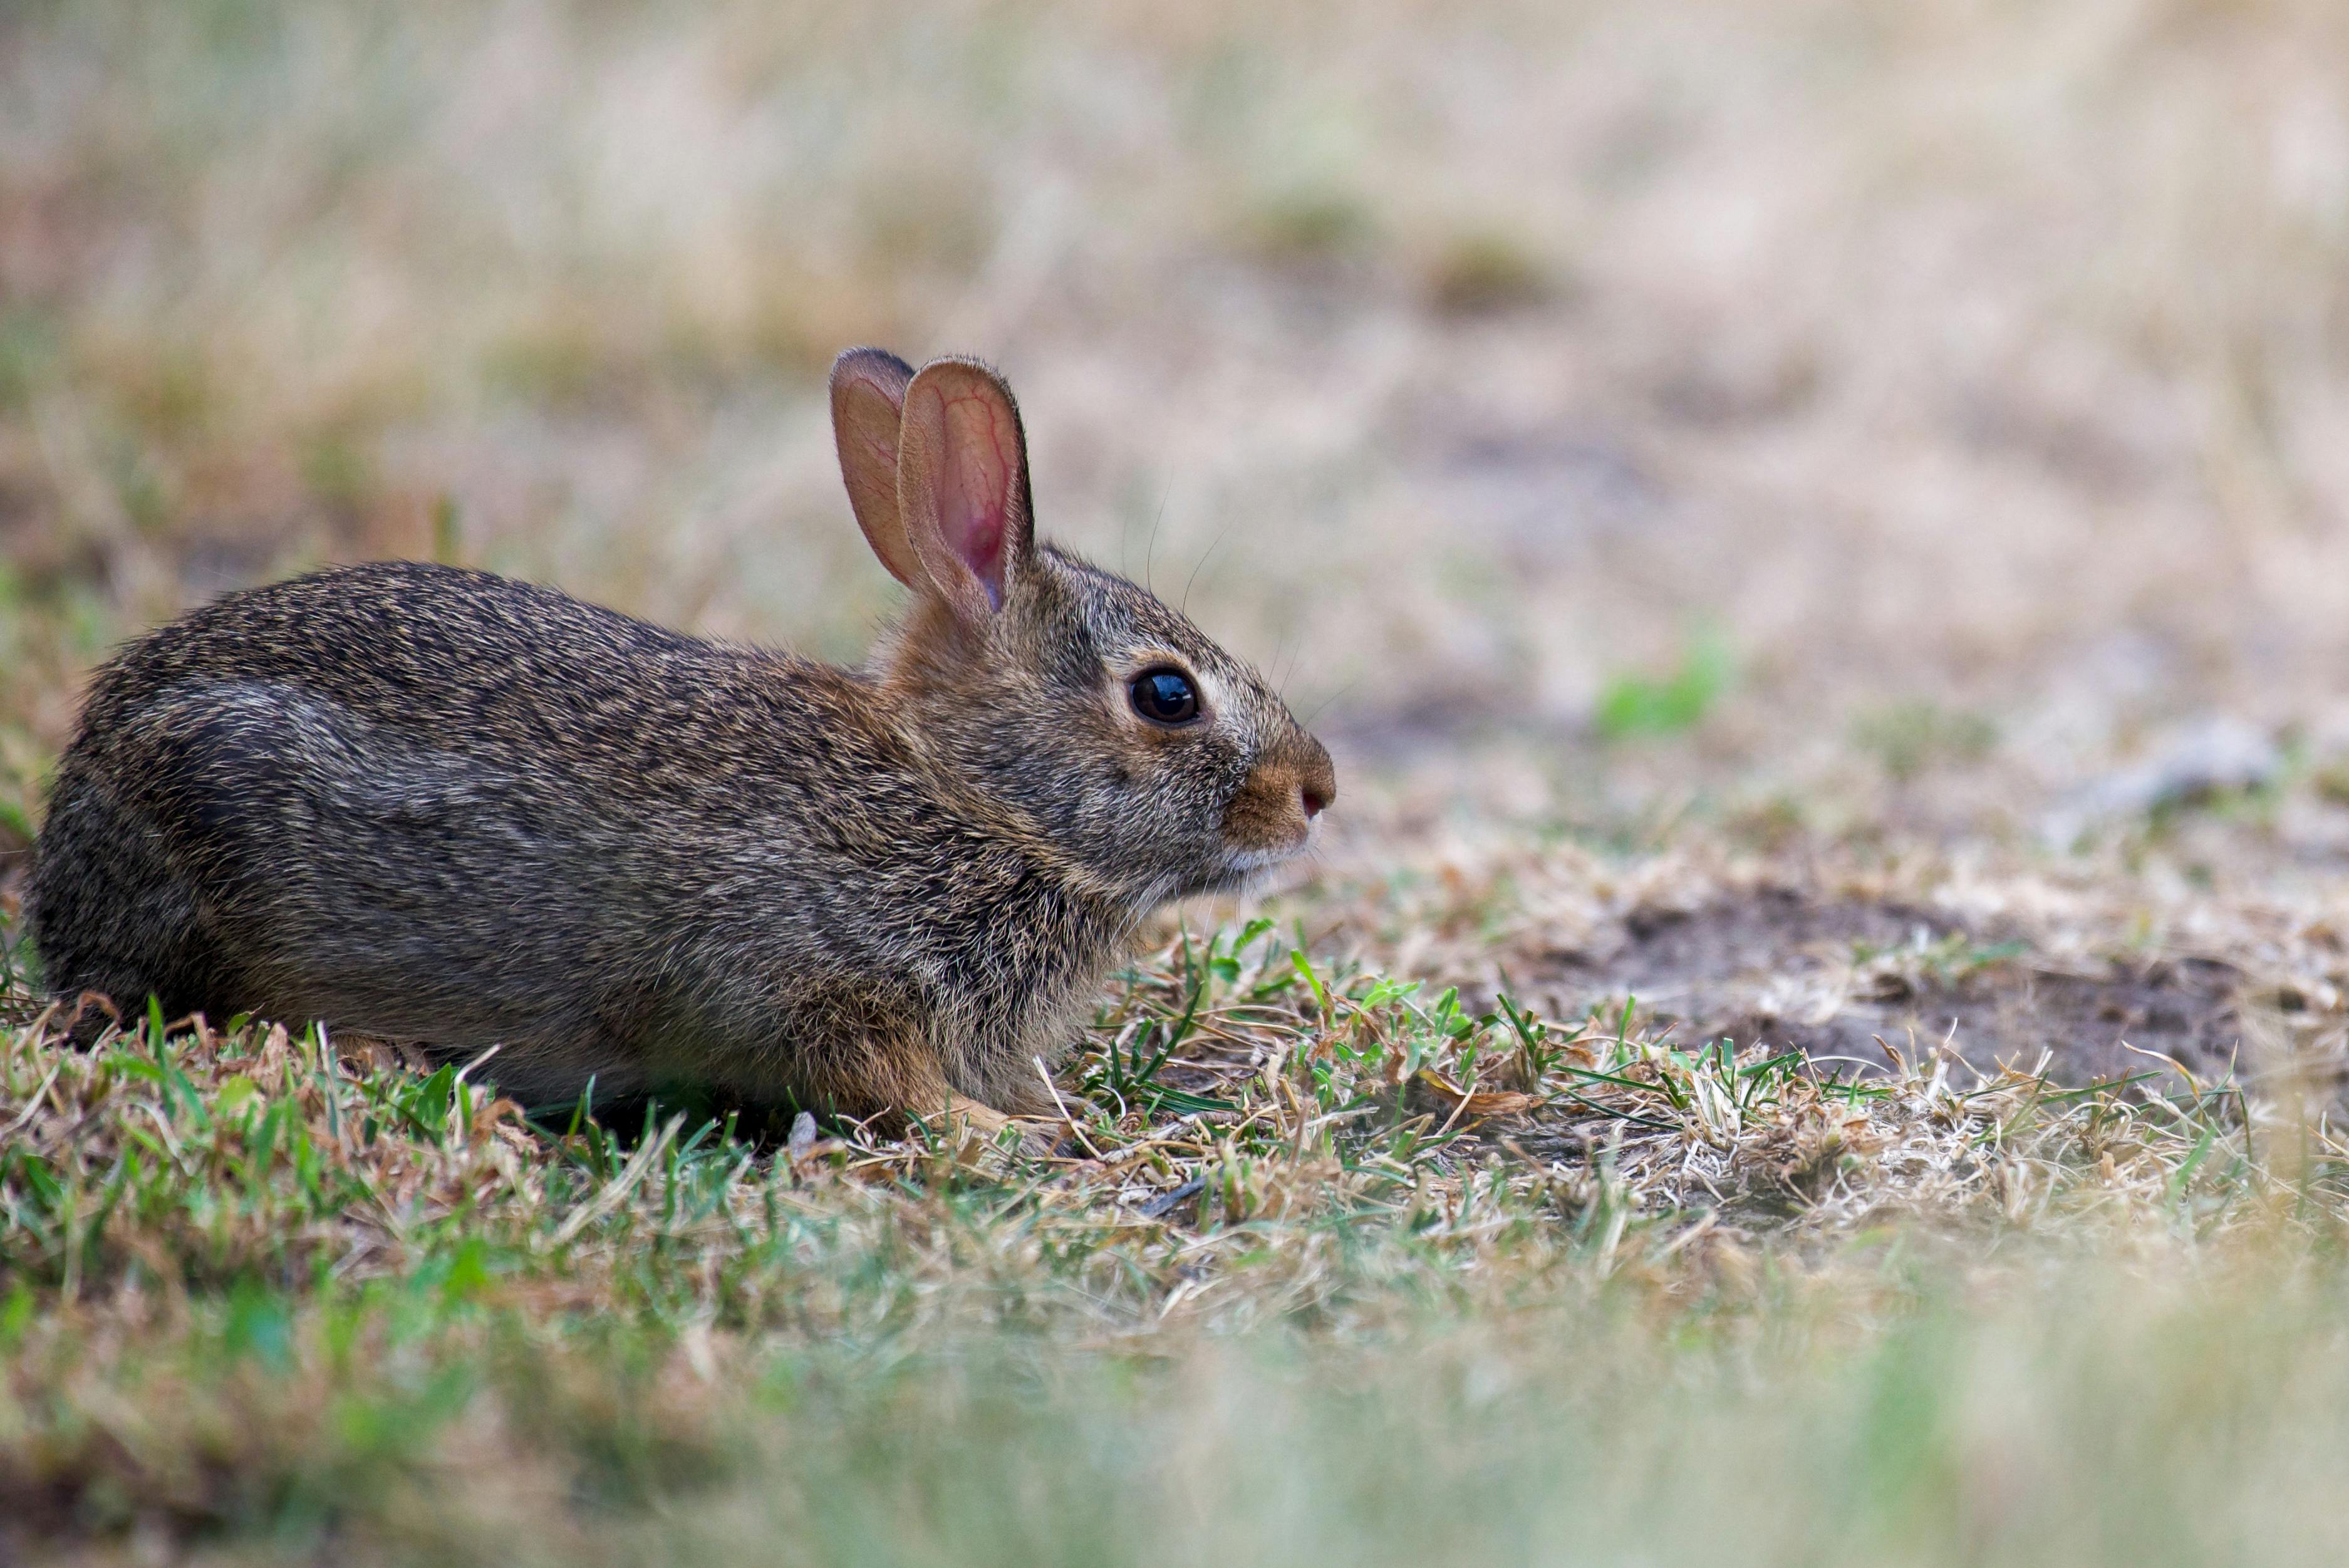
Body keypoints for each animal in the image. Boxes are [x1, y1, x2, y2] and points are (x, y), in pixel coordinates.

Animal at [23, 350, 1344, 1133]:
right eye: (1166, 695)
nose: (1320, 791)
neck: (969, 801)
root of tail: (77, 803)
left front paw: (1058, 1120)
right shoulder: (799, 982)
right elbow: (875, 1079)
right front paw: (998, 1137)